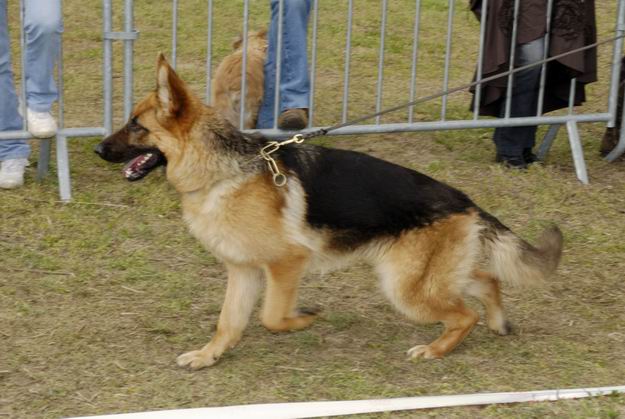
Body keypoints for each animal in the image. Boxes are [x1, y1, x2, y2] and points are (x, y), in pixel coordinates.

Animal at [95, 55, 564, 370]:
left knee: (464, 312)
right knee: (486, 280)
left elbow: (271, 317)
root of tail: (465, 201)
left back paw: (435, 349)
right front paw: (209, 356)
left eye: (136, 124)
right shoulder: (242, 270)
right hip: (424, 275)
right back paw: (497, 322)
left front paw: (303, 319)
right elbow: (228, 322)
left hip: (403, 287)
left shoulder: (287, 263)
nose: (98, 149)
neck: (223, 170)